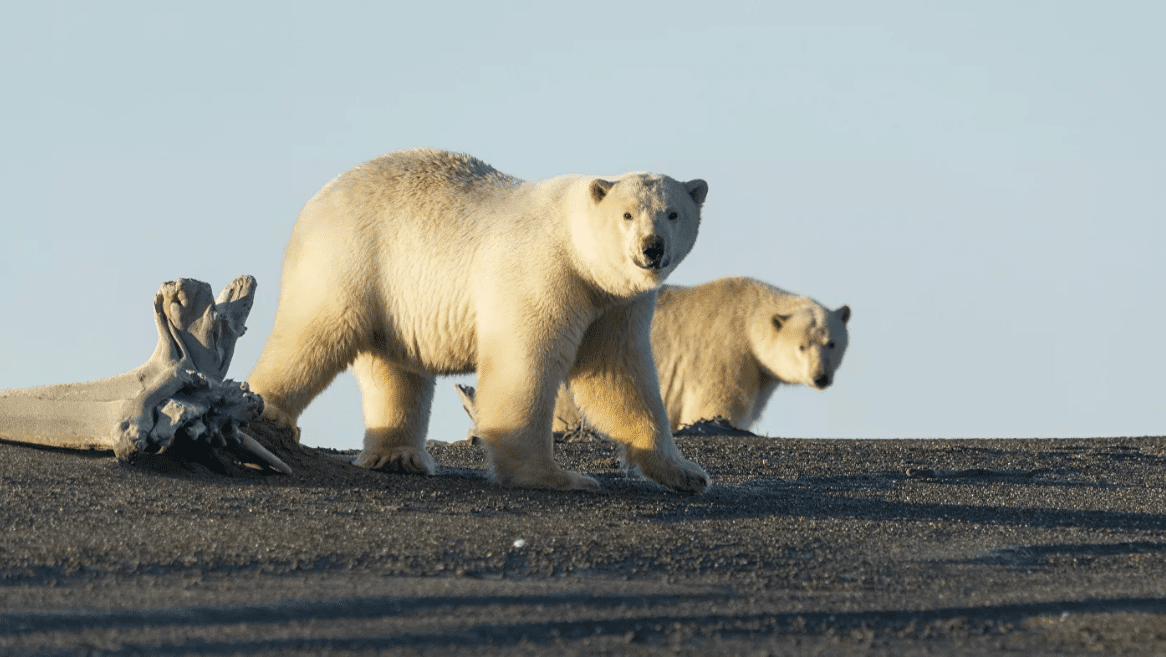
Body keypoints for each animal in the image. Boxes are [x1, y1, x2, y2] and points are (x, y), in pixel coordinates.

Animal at [248, 149, 708, 494]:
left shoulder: (613, 303)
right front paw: (556, 476)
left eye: (672, 213)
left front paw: (687, 473)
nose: (652, 248)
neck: (576, 250)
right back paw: (269, 410)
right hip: (350, 260)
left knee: (397, 372)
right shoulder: (543, 274)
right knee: (312, 335)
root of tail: (318, 199)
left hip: (394, 296)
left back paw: (399, 455)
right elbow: (525, 364)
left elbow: (618, 377)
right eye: (627, 215)